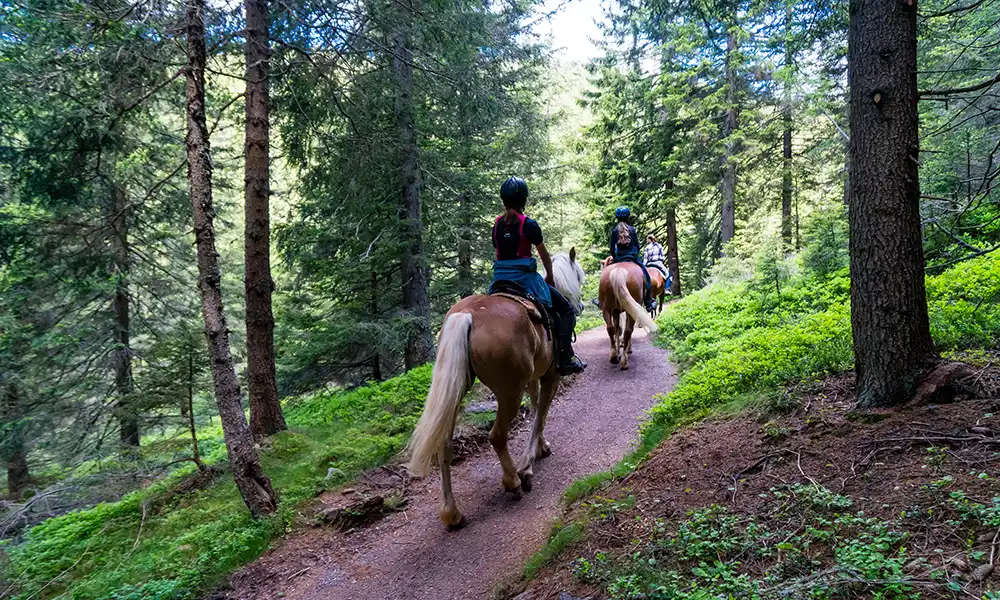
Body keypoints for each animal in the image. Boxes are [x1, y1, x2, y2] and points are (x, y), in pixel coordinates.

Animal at [407, 250, 584, 529]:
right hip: (509, 391)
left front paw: (541, 447)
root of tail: (466, 315)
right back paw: (513, 481)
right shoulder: (551, 375)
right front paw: (528, 464)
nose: (582, 306)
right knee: (497, 435)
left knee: (444, 444)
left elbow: (536, 407)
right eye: (578, 275)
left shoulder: (533, 377)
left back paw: (451, 513)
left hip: (457, 389)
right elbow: (541, 413)